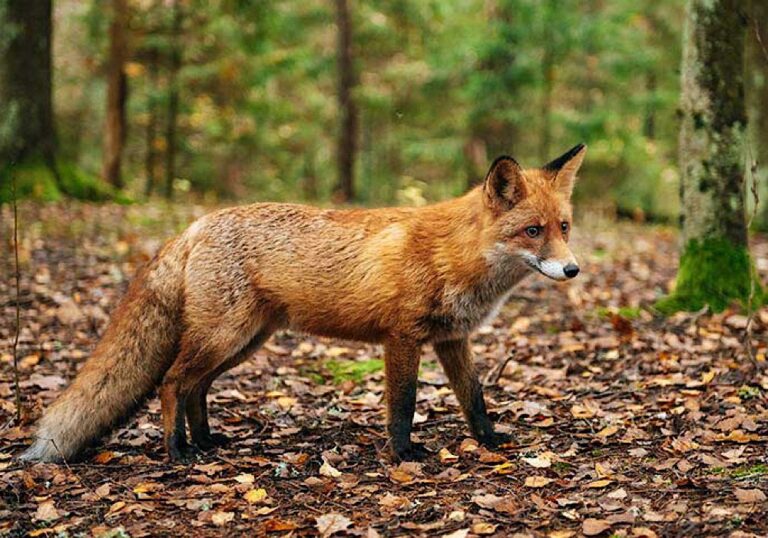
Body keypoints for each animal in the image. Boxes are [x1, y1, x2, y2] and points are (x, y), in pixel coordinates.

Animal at [21, 144, 585, 464]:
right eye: (532, 232)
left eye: (563, 228)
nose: (573, 270)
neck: (455, 256)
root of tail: (195, 225)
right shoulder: (402, 338)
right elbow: (402, 405)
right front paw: (404, 454)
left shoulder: (453, 338)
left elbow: (474, 398)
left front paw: (489, 443)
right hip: (223, 337)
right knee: (172, 381)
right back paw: (177, 451)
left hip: (244, 342)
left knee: (196, 387)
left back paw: (206, 443)